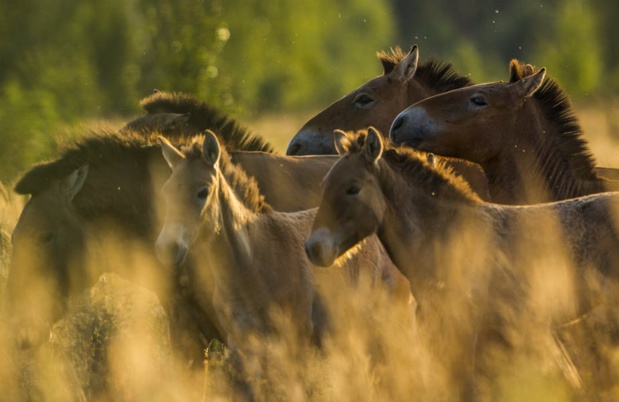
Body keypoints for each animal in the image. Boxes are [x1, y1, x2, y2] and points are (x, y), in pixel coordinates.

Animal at [157, 131, 414, 384]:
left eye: (203, 191)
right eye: (166, 192)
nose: (168, 247)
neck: (251, 264)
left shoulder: (295, 343)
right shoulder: (241, 346)